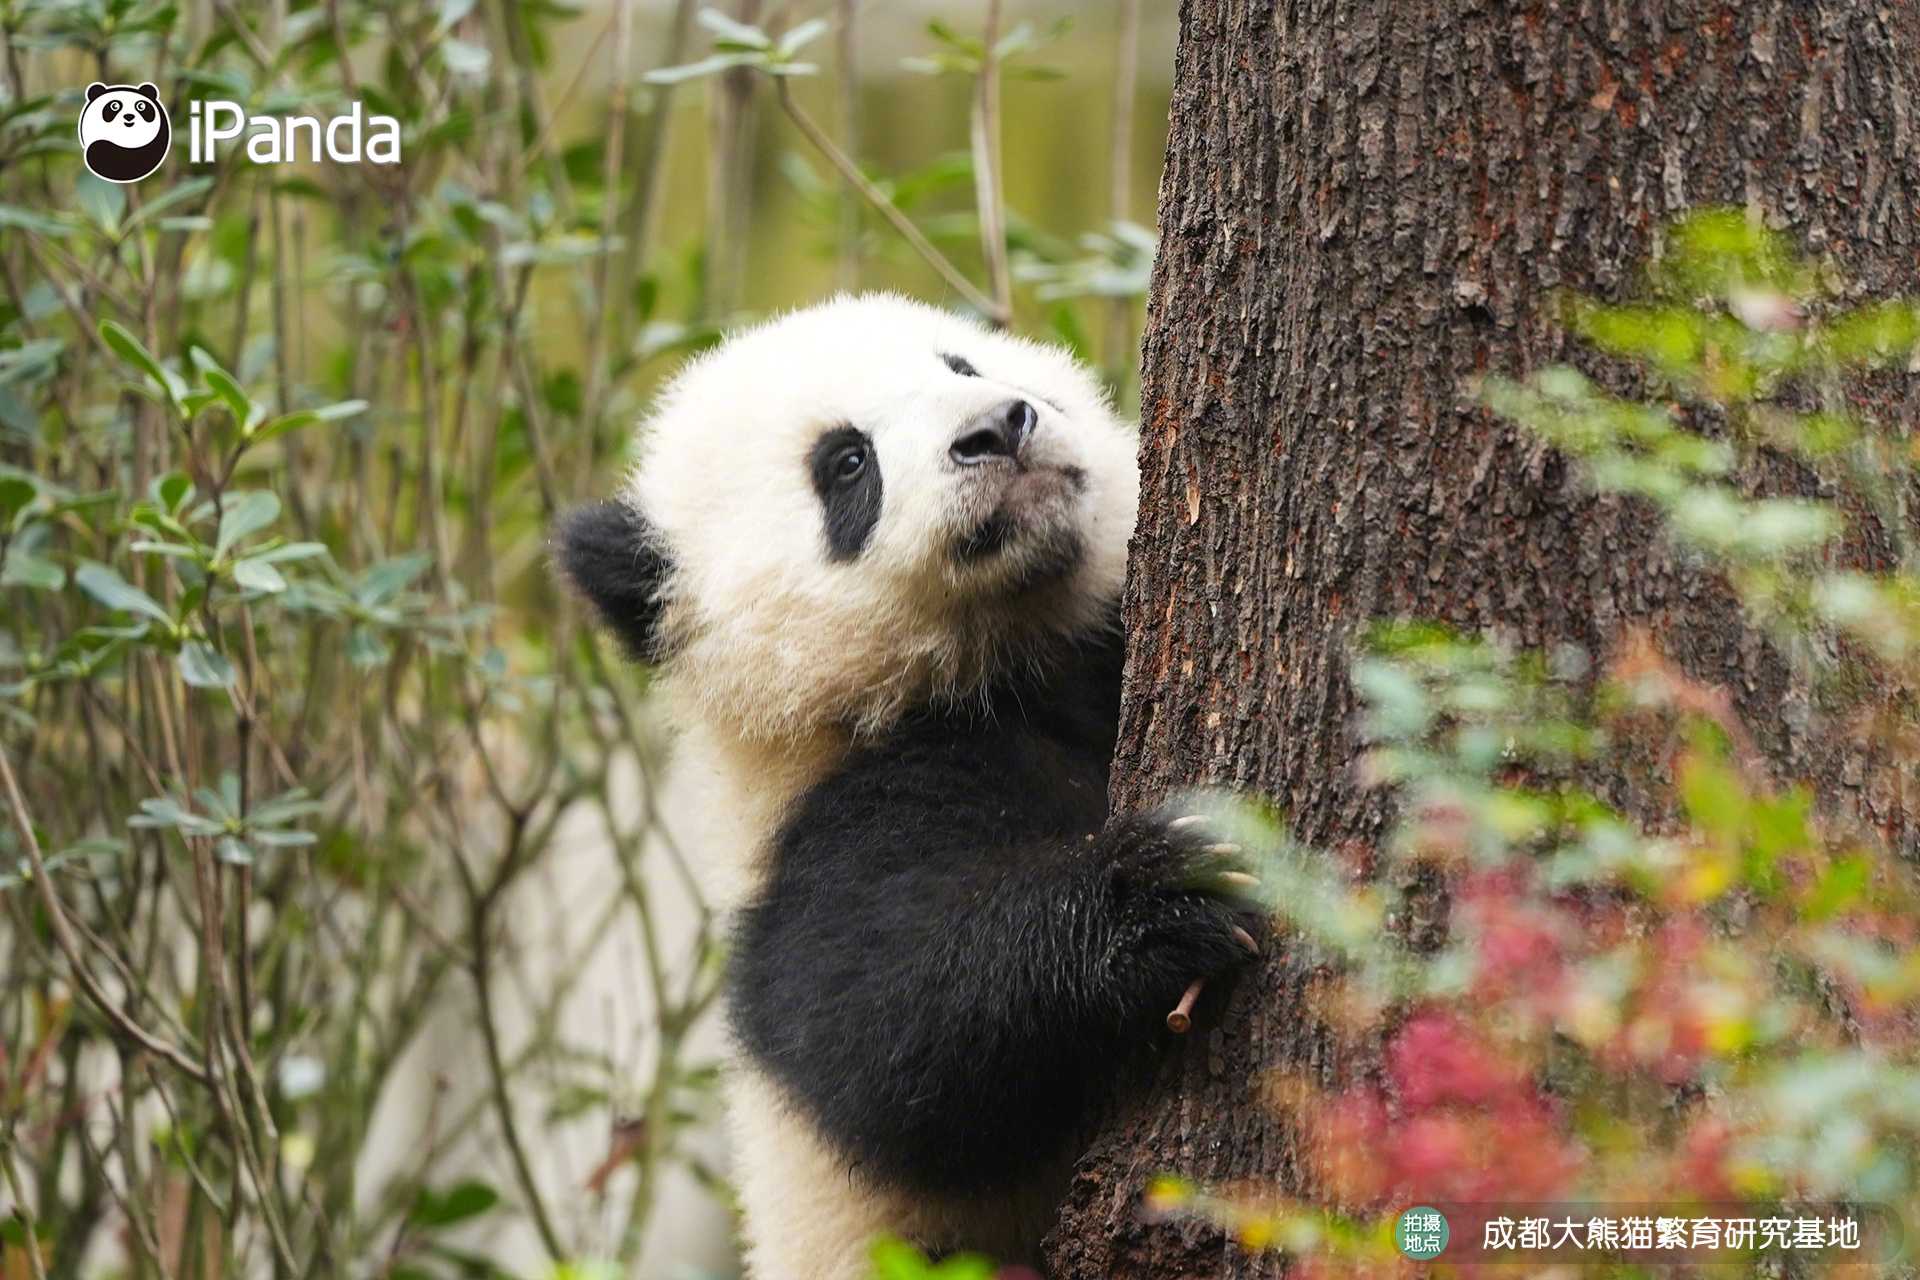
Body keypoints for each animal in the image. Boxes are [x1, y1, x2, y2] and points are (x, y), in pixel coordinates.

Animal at [555, 294, 1259, 1278]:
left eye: (961, 366)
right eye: (847, 462)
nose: (999, 428)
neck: (998, 664)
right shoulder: (823, 834)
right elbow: (893, 1037)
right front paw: (1158, 895)